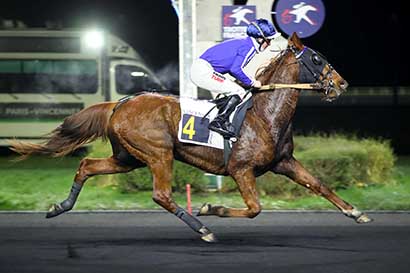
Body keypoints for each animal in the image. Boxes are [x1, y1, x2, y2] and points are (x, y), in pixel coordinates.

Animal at [11, 33, 374, 242]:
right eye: (316, 58)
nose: (341, 84)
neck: (264, 115)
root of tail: (120, 103)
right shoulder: (241, 169)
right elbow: (255, 208)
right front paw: (212, 207)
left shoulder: (283, 162)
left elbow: (320, 184)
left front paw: (356, 212)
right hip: (158, 153)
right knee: (161, 195)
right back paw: (203, 228)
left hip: (127, 158)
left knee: (87, 165)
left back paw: (60, 207)